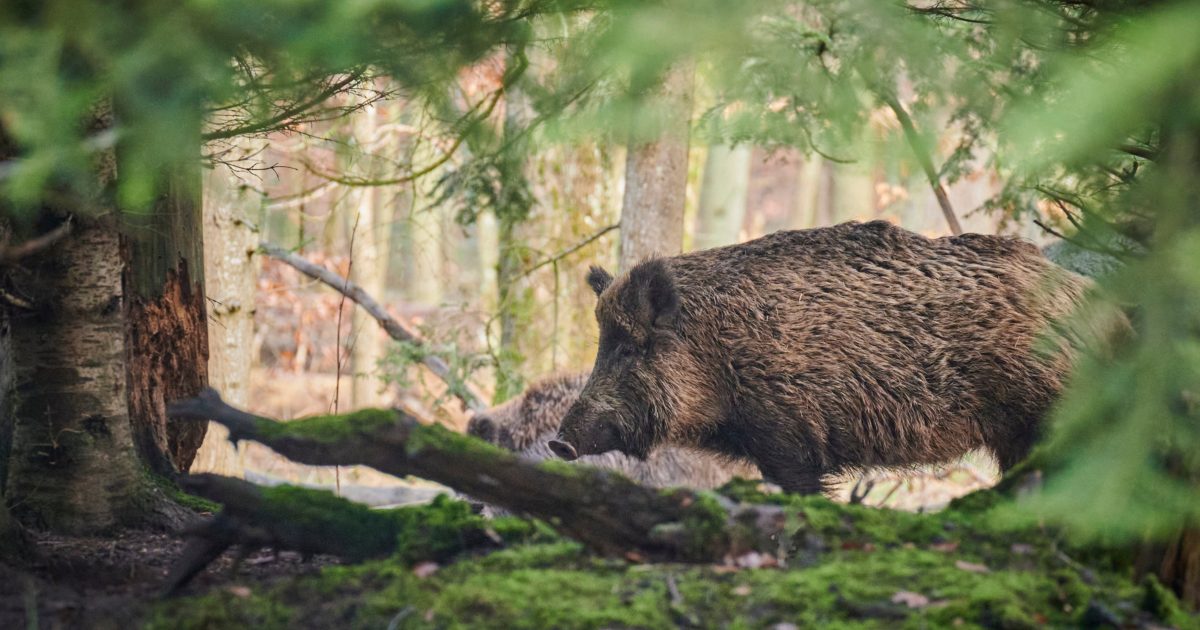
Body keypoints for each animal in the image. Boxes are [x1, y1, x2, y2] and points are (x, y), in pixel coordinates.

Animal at [550, 220, 1093, 495]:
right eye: (603, 344)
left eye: (628, 347)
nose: (558, 443)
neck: (716, 354)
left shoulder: (789, 434)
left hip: (1048, 414)